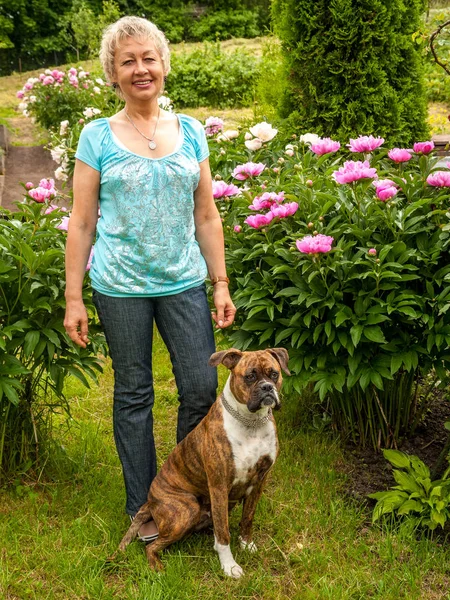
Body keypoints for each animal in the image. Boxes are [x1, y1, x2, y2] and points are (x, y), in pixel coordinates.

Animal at [112, 350, 288, 580]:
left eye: (274, 374)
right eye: (250, 376)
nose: (267, 387)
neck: (251, 423)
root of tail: (149, 501)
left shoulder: (259, 481)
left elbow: (248, 517)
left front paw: (246, 544)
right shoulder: (219, 487)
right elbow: (223, 533)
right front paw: (229, 565)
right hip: (186, 510)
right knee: (151, 547)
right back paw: (157, 568)